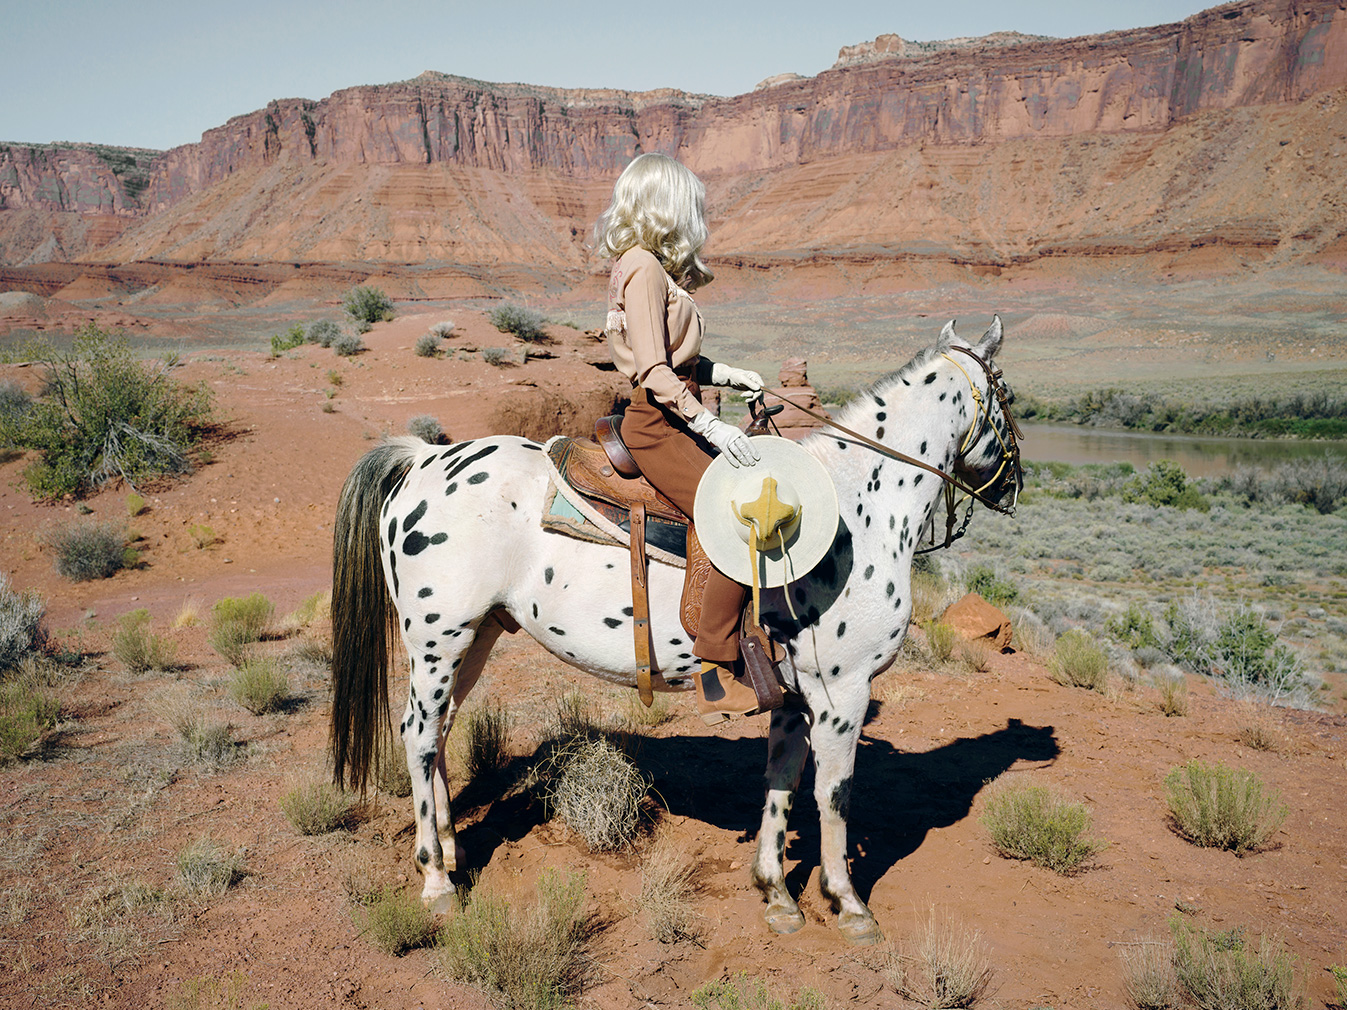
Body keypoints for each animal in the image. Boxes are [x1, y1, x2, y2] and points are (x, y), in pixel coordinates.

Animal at [331, 317, 1012, 948]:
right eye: (1006, 393)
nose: (1013, 487)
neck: (857, 505)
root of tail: (423, 458)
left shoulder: (796, 697)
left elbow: (782, 782)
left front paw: (775, 893)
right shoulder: (843, 690)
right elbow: (835, 795)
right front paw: (846, 902)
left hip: (477, 636)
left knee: (441, 731)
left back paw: (452, 850)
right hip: (437, 640)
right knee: (418, 735)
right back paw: (436, 881)